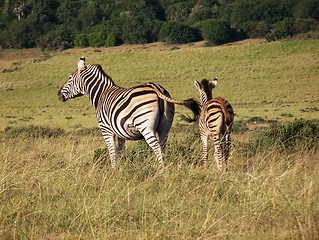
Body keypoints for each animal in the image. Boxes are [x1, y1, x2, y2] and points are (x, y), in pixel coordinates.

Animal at [56, 57, 199, 172]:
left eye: (69, 78)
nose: (58, 95)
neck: (101, 94)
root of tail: (155, 88)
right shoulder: (120, 133)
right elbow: (121, 151)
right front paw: (121, 169)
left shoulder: (106, 130)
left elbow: (112, 152)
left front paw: (113, 171)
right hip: (165, 126)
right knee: (163, 146)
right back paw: (160, 167)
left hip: (145, 126)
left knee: (156, 147)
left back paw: (161, 171)